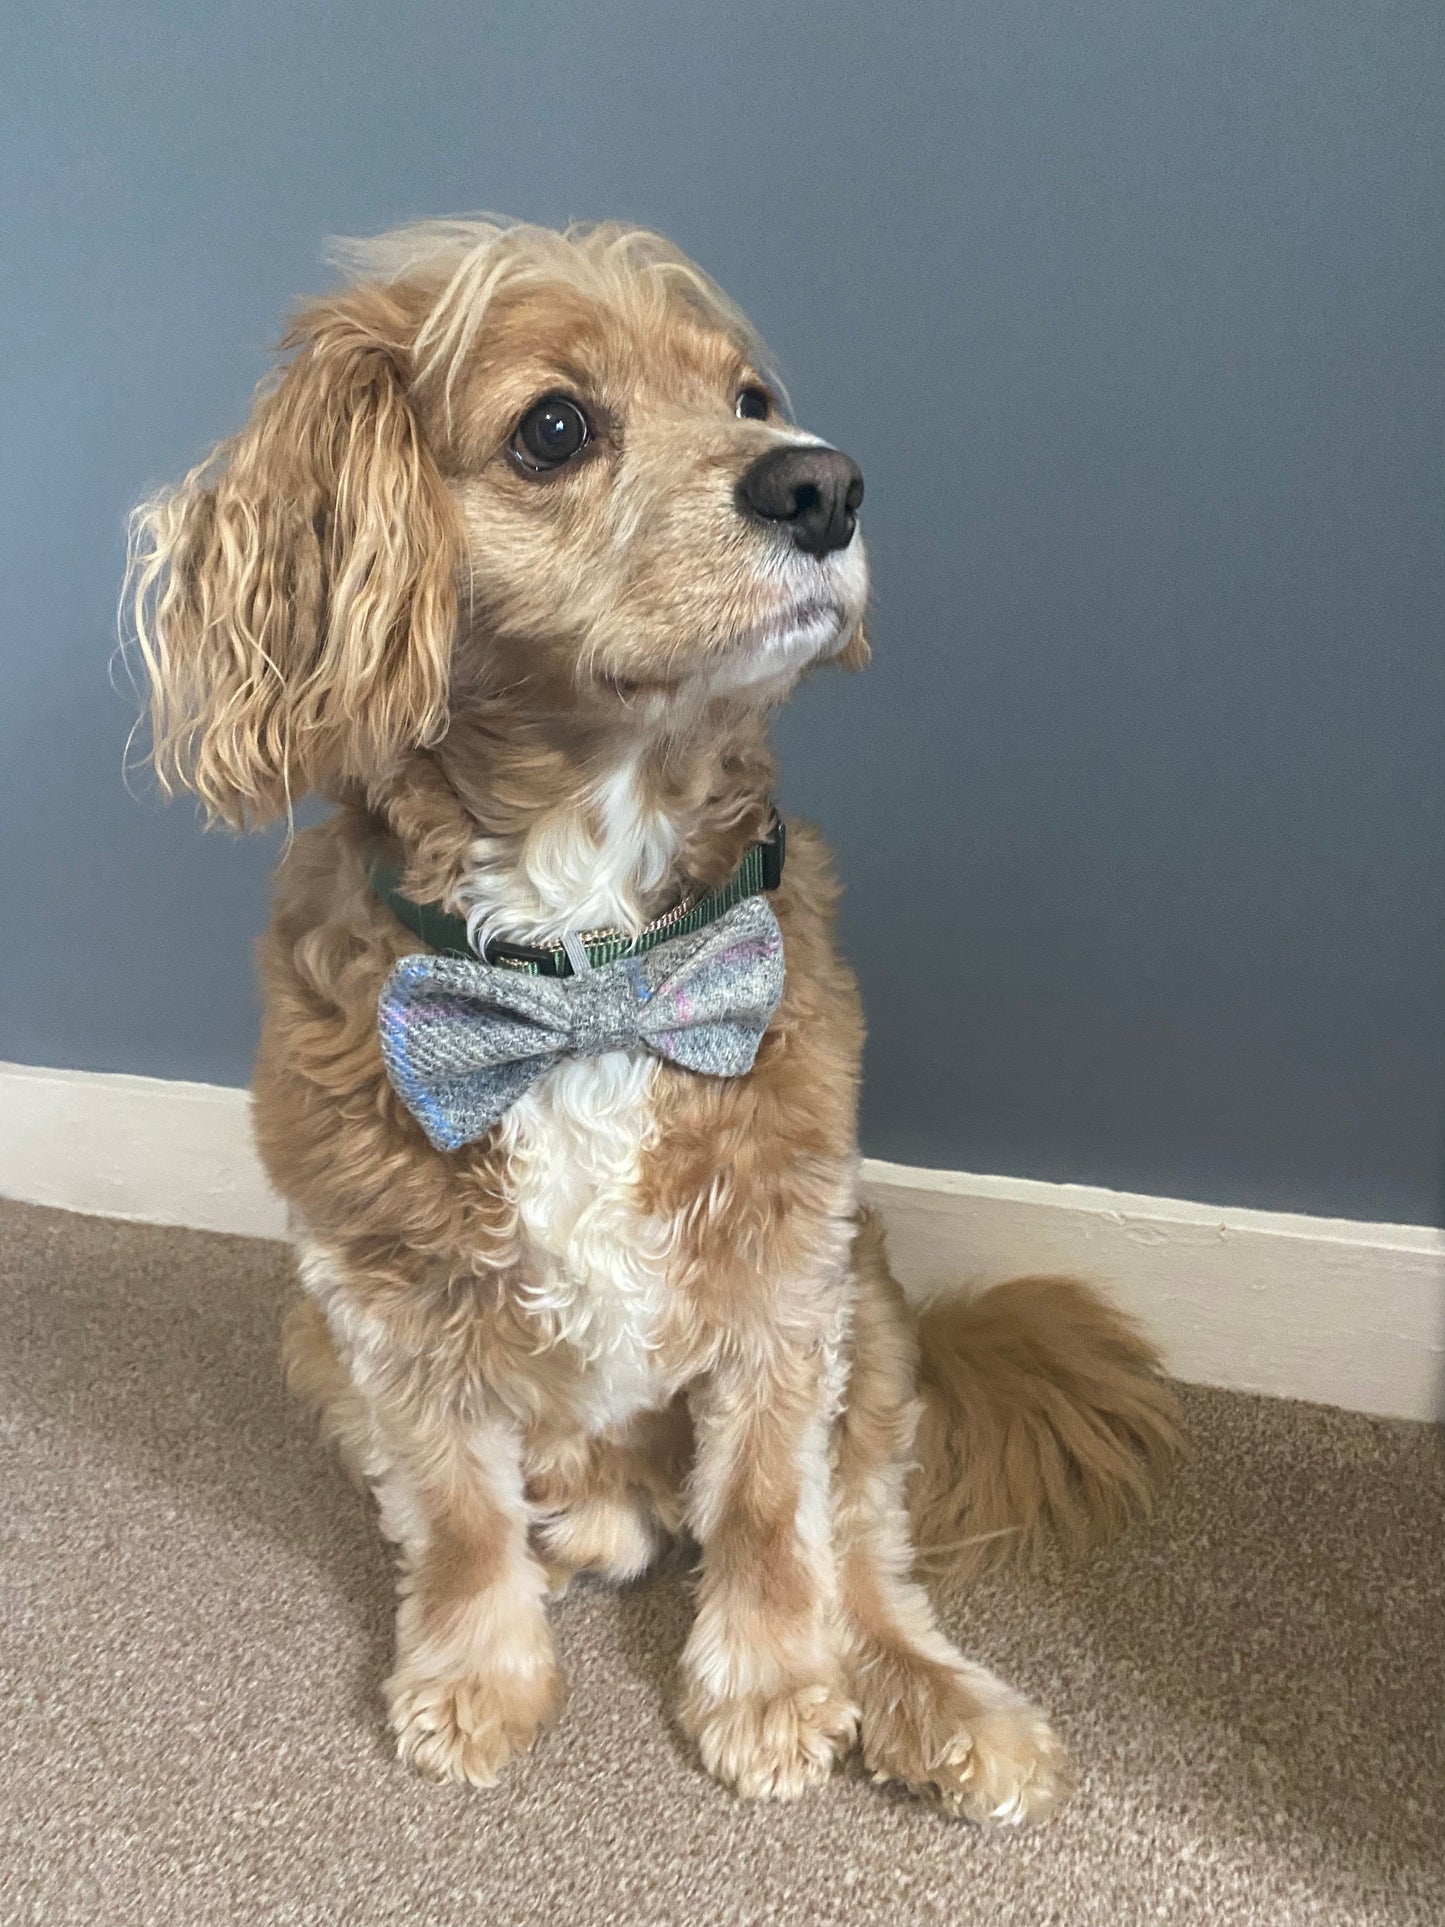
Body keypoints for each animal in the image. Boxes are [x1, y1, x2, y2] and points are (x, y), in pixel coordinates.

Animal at [130, 218, 1179, 1811]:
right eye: (553, 428)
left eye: (751, 398)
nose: (823, 482)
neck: (588, 961)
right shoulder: (381, 1294)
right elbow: (453, 1508)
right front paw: (474, 1675)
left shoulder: (785, 1270)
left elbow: (764, 1504)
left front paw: (770, 1689)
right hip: (312, 1337)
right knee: (567, 1493)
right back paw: (586, 1531)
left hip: (875, 1313)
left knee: (858, 1543)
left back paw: (935, 1701)